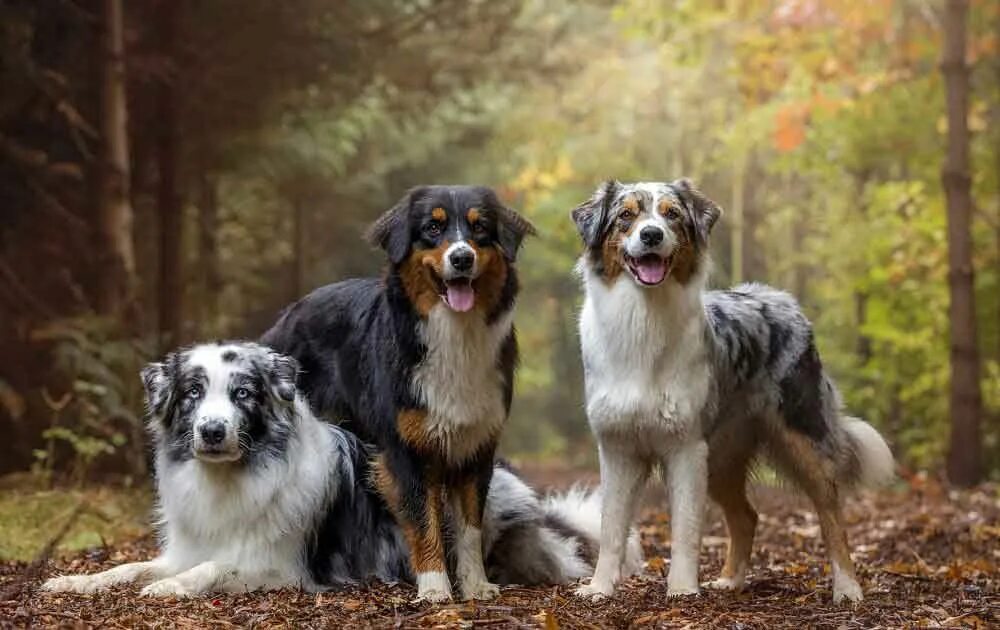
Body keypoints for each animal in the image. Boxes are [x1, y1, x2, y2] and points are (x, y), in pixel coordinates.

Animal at [262, 185, 536, 604]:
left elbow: (469, 527)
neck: (453, 335)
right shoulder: (404, 449)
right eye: (433, 227)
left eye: (480, 229)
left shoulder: (475, 447)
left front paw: (475, 585)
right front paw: (435, 588)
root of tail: (288, 314)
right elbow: (424, 523)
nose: (462, 257)